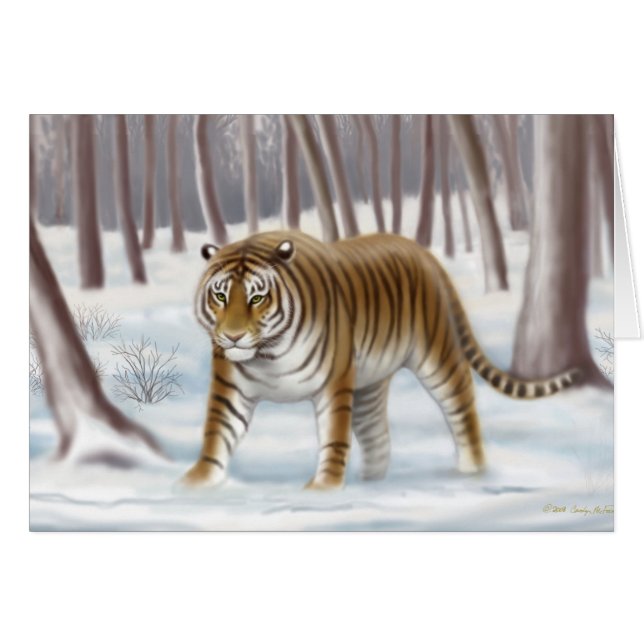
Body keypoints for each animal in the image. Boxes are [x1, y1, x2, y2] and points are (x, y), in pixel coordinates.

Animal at [180, 230, 581, 490]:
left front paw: (324, 488)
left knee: (463, 407)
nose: (232, 336)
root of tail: (421, 250)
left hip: (437, 358)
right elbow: (217, 433)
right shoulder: (230, 387)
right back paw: (371, 483)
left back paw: (474, 471)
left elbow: (334, 437)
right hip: (370, 385)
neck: (268, 354)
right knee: (378, 438)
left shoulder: (334, 385)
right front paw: (196, 482)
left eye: (257, 298)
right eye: (220, 295)